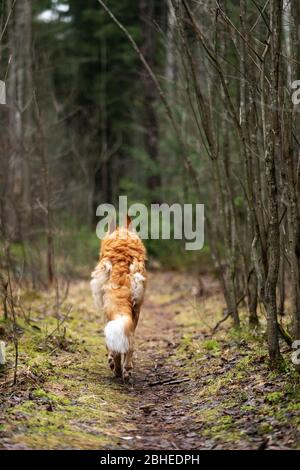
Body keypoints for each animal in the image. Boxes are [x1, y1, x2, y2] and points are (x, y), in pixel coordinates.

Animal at [91, 217, 147, 382]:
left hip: (110, 314)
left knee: (115, 349)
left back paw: (117, 369)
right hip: (135, 311)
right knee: (130, 343)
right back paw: (126, 370)